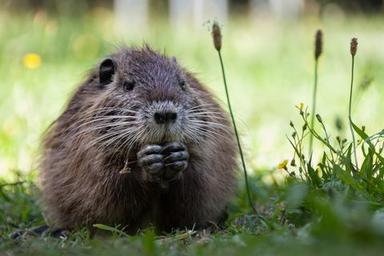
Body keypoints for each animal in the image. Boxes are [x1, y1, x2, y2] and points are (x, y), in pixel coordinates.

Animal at [39, 46, 237, 234]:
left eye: (182, 84)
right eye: (128, 85)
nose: (165, 114)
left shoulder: (210, 154)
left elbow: (197, 188)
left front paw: (177, 155)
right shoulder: (86, 158)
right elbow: (110, 189)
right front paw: (149, 159)